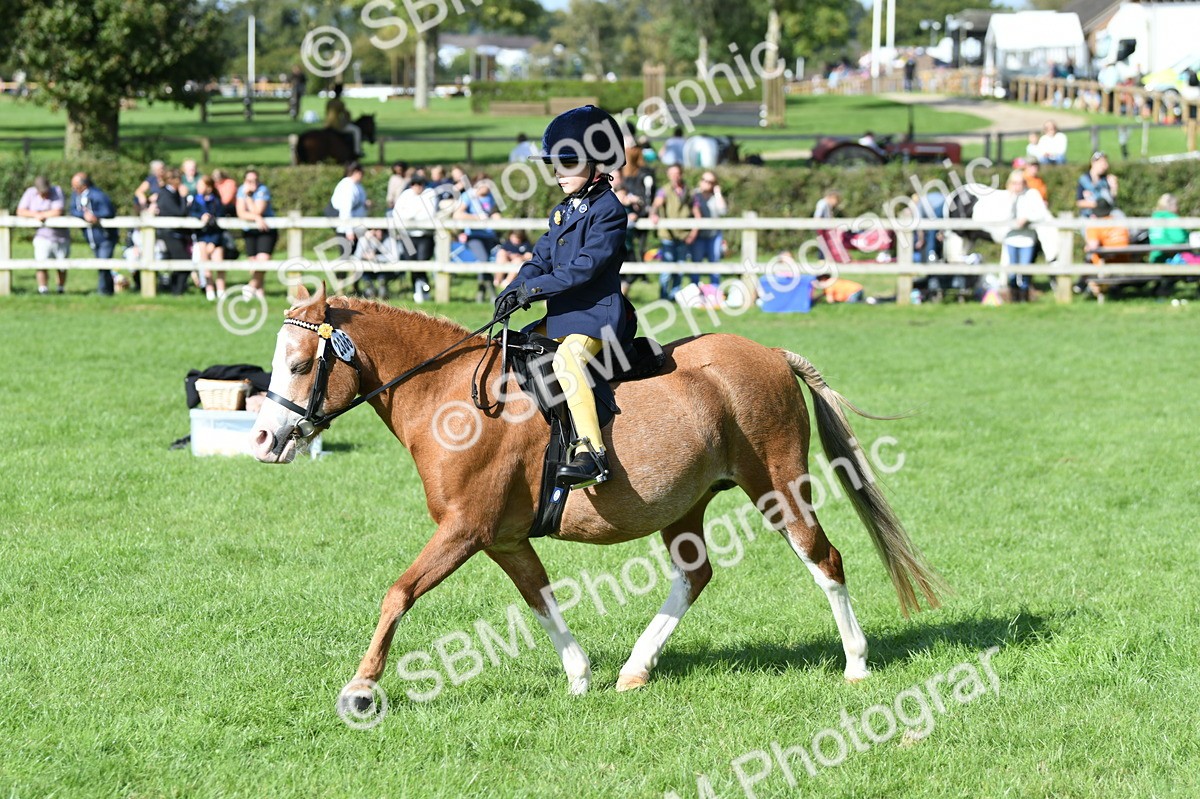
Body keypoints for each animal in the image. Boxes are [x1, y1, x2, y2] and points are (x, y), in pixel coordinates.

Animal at [250, 283, 944, 708]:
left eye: (301, 364)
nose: (263, 438)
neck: (449, 394)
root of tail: (769, 352)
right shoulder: (502, 539)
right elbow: (540, 601)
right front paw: (580, 675)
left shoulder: (463, 531)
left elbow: (398, 594)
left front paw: (361, 690)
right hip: (683, 505)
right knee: (695, 575)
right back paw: (634, 670)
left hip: (777, 487)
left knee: (824, 560)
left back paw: (855, 663)